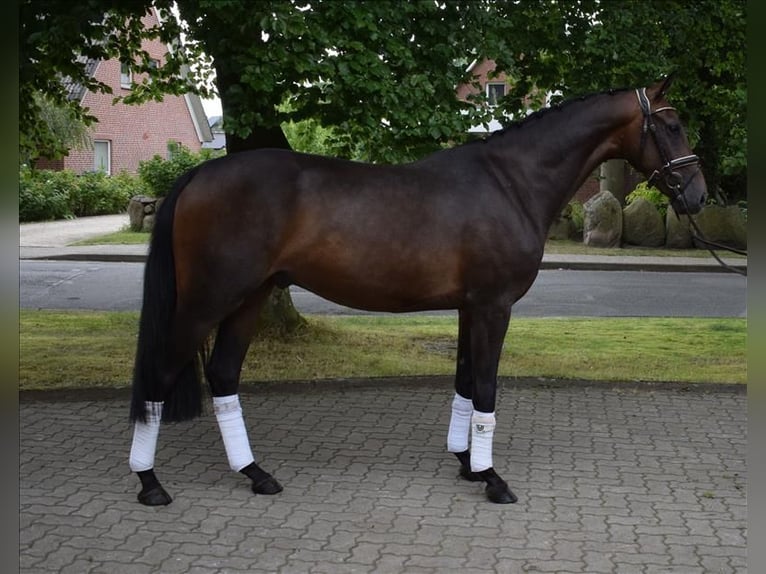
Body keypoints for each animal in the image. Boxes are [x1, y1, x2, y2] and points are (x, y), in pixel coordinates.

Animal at [127, 77, 708, 508]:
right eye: (672, 124)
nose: (699, 195)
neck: (510, 182)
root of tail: (200, 173)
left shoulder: (470, 308)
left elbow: (466, 383)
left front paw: (467, 465)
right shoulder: (494, 307)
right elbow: (487, 388)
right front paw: (492, 478)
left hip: (250, 299)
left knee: (224, 375)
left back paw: (256, 474)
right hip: (206, 301)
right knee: (160, 372)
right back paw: (150, 483)